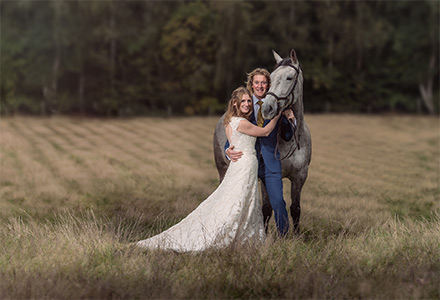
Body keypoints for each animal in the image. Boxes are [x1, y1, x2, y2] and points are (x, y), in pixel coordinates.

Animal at [212, 49, 310, 233]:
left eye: (289, 77)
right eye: (271, 76)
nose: (268, 108)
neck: (290, 140)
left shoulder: (300, 176)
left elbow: (295, 208)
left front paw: (297, 236)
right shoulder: (267, 177)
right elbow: (267, 208)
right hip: (223, 171)